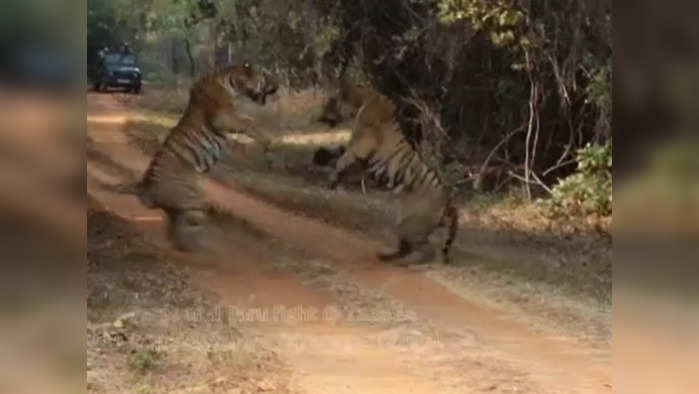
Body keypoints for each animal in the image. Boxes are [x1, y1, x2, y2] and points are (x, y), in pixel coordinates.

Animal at [135, 62, 278, 251]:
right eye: (266, 75)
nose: (278, 84)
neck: (233, 83)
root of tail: (146, 186)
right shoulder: (223, 117)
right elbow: (249, 122)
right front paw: (267, 145)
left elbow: (250, 123)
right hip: (193, 202)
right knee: (186, 230)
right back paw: (202, 248)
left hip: (183, 207)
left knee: (174, 228)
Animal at [316, 81, 460, 264]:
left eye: (330, 102)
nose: (319, 116)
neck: (362, 100)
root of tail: (449, 198)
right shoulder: (360, 158)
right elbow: (340, 155)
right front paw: (323, 160)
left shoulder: (360, 147)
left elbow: (342, 159)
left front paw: (333, 177)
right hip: (403, 223)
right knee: (407, 247)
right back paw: (387, 257)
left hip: (413, 226)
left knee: (427, 251)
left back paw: (406, 263)